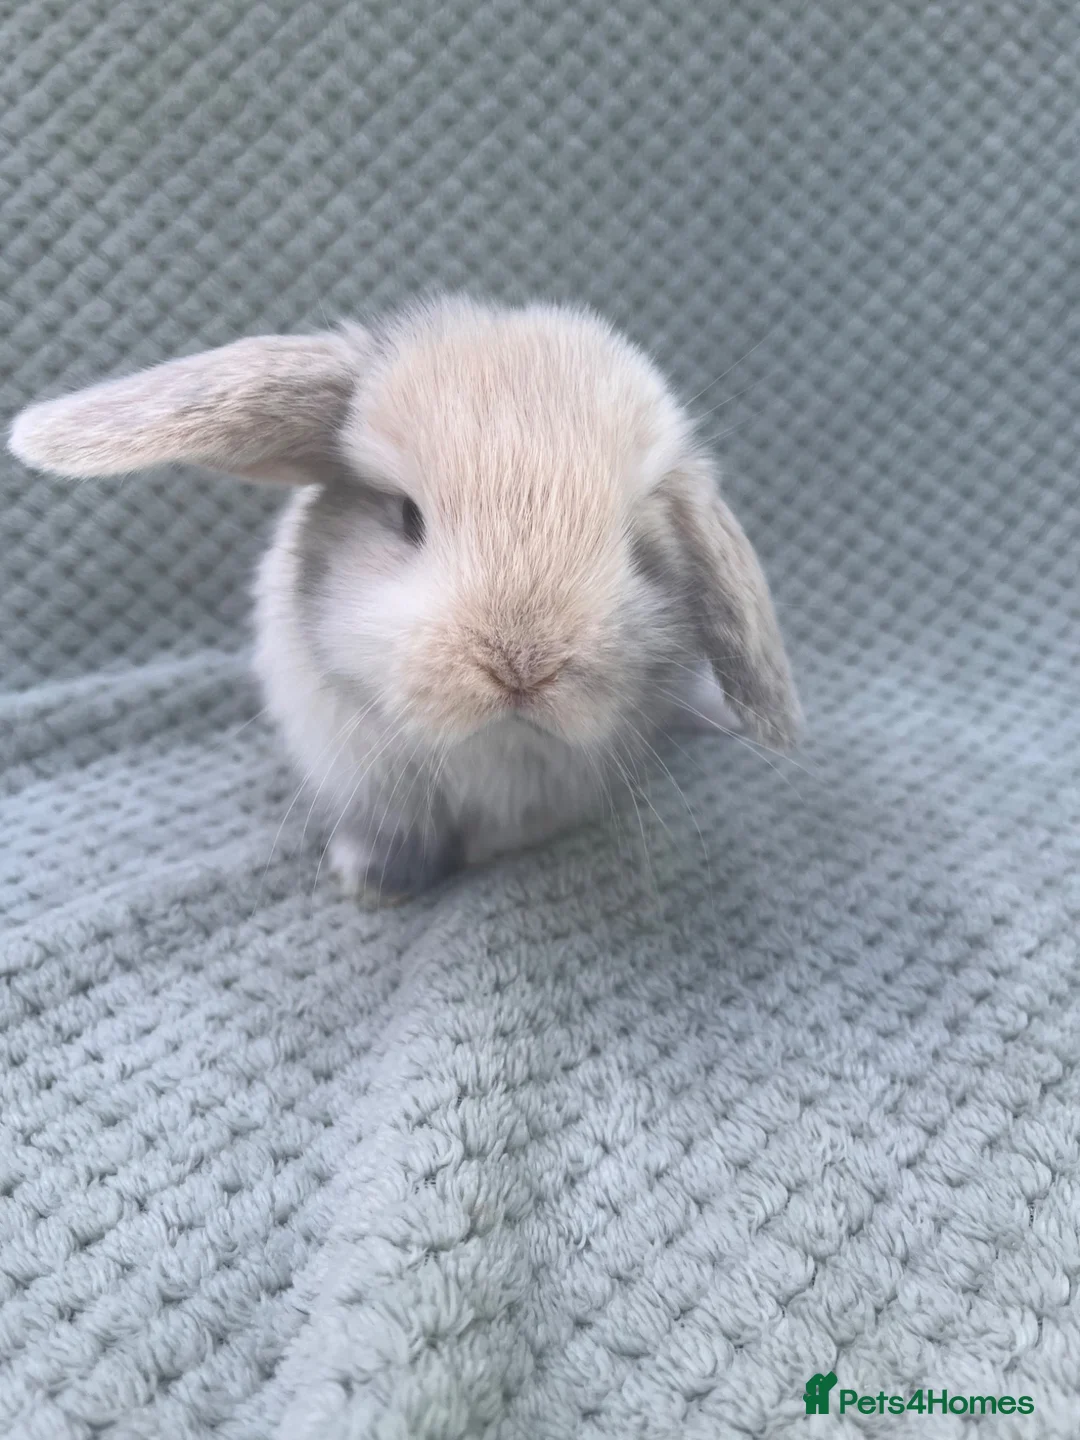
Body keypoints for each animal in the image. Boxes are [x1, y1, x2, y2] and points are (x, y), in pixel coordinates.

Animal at [8, 295, 800, 899]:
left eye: (639, 549)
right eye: (406, 517)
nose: (523, 666)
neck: (491, 748)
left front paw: (476, 858)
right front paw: (368, 880)